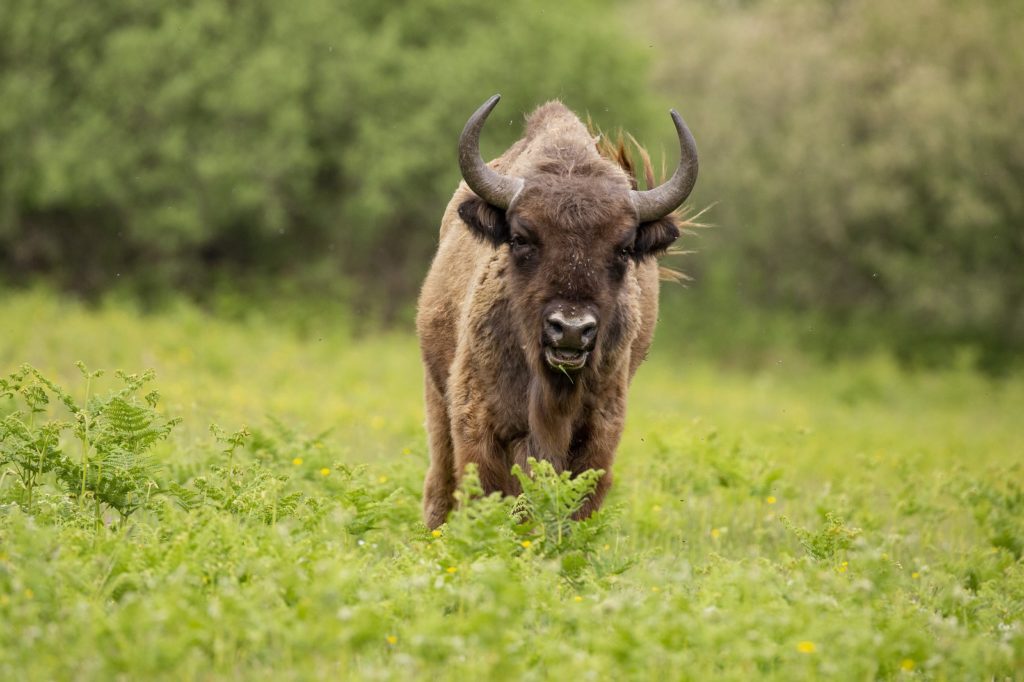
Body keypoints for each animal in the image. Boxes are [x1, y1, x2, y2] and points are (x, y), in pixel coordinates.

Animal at [415, 94, 696, 524]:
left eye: (624, 248)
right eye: (520, 238)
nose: (571, 329)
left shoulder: (598, 435)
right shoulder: (479, 422)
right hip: (436, 395)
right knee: (441, 481)